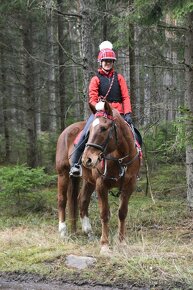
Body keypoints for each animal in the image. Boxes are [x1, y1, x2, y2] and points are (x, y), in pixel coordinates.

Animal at [55, 101, 141, 255]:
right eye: (89, 130)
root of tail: (66, 131)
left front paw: (122, 242)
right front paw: (105, 245)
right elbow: (104, 214)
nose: (87, 159)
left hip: (89, 181)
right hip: (63, 174)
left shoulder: (129, 186)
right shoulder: (101, 185)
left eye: (103, 128)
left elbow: (122, 213)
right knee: (62, 200)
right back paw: (63, 232)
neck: (120, 158)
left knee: (81, 200)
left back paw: (87, 232)